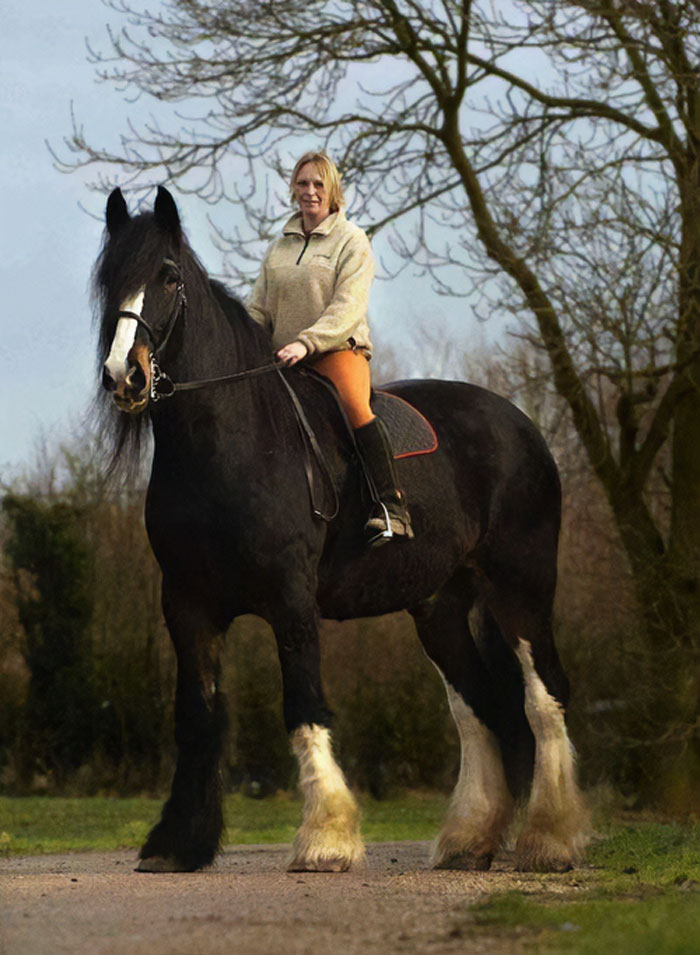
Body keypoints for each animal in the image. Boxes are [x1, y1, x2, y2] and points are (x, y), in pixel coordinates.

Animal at [95, 185, 588, 874]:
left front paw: (326, 838)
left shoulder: (291, 600)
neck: (230, 445)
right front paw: (176, 844)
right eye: (110, 276)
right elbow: (196, 718)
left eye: (168, 277)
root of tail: (520, 425)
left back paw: (552, 839)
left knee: (544, 697)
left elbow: (304, 707)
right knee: (477, 709)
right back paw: (469, 840)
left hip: (521, 589)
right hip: (439, 606)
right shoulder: (187, 608)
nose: (125, 376)